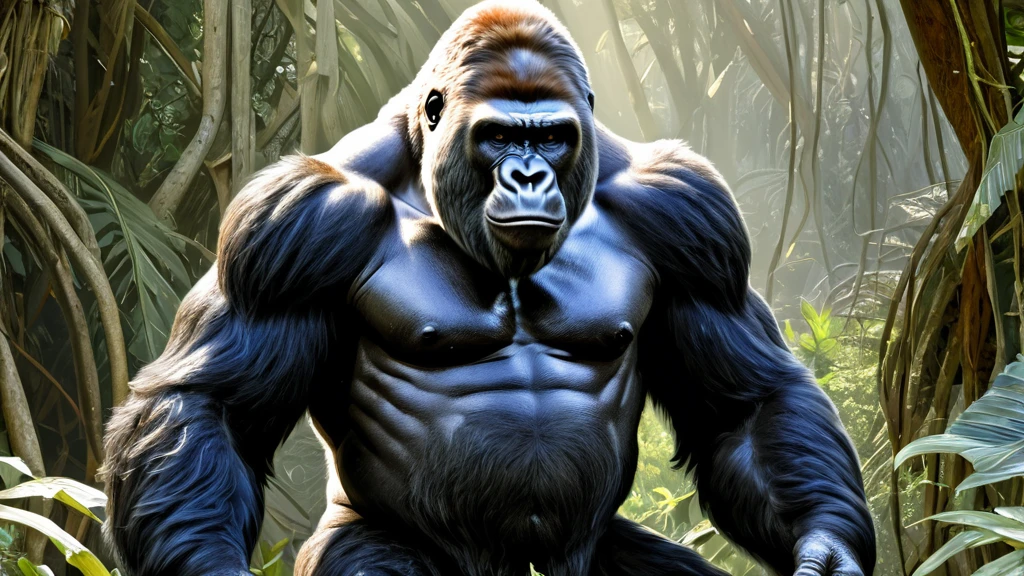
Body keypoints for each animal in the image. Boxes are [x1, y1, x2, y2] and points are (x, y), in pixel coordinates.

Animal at [101, 2, 875, 575]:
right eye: (500, 136)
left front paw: (825, 547)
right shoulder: (290, 221)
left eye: (553, 137)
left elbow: (747, 404)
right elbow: (214, 404)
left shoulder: (690, 211)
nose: (529, 176)